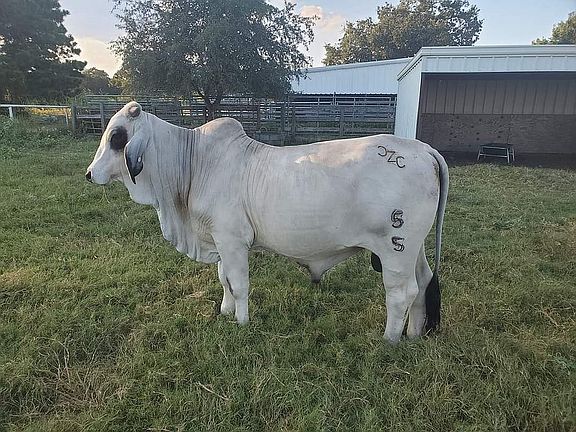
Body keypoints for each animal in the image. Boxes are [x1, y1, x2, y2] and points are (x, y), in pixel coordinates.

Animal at [85, 101, 448, 343]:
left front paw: (242, 322)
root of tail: (423, 149)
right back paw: (414, 334)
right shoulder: (220, 241)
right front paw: (225, 312)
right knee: (423, 282)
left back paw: (389, 340)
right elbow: (224, 280)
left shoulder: (233, 240)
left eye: (117, 137)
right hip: (412, 248)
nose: (89, 174)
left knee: (401, 292)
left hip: (394, 249)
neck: (195, 162)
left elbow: (239, 283)